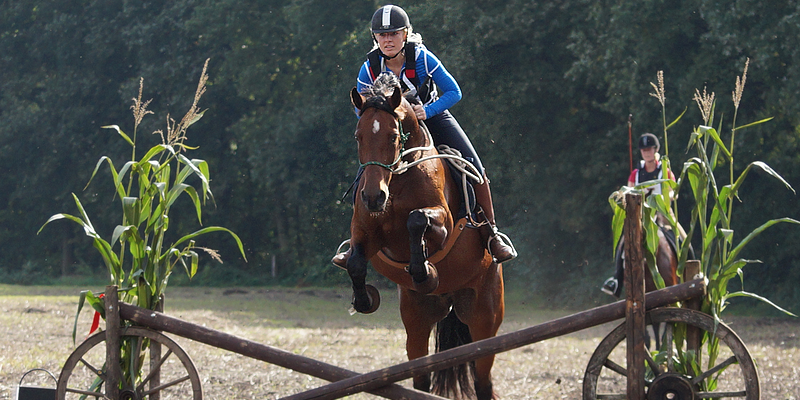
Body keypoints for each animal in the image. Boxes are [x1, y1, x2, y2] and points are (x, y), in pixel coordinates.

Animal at [346, 76, 506, 400]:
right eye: (358, 137)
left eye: (393, 137)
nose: (373, 197)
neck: (397, 179)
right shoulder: (366, 232)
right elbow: (355, 261)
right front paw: (364, 299)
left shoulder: (443, 225)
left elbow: (417, 220)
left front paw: (424, 273)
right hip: (416, 323)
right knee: (420, 378)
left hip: (484, 320)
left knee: (483, 380)